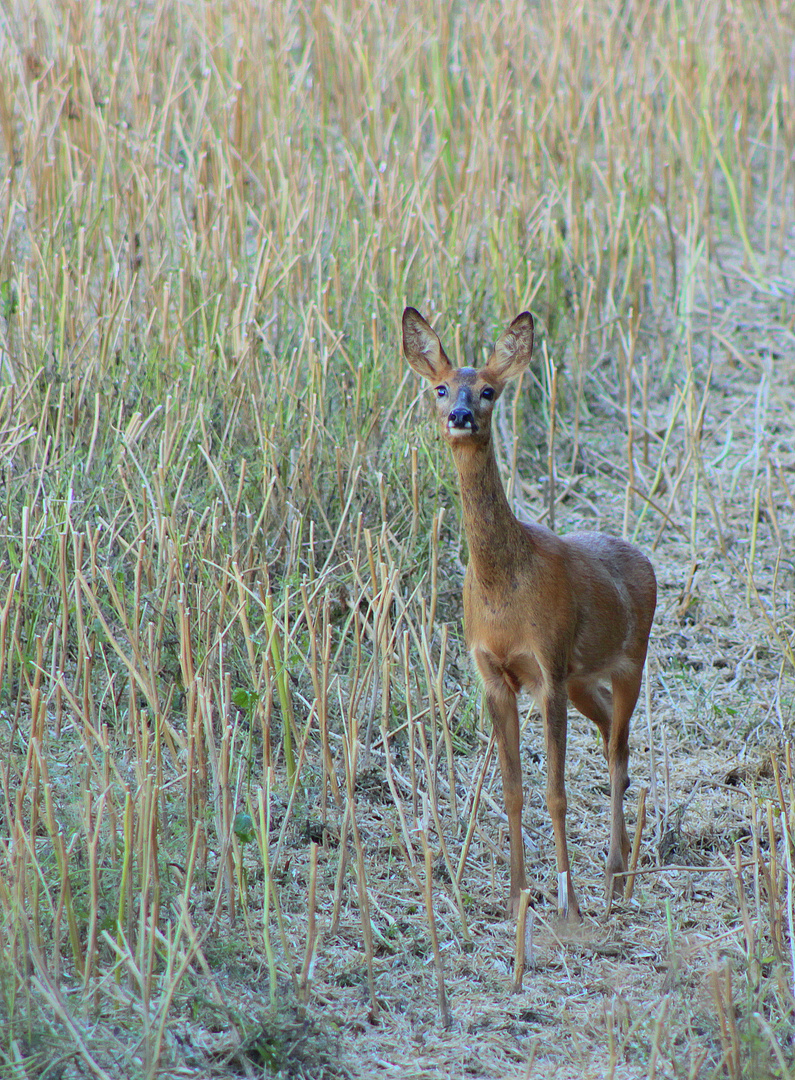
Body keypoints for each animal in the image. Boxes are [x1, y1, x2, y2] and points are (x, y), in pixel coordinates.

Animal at [403, 308, 656, 924]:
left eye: (489, 390)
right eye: (440, 388)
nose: (461, 415)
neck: (504, 591)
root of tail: (644, 560)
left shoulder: (547, 666)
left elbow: (556, 792)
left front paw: (569, 905)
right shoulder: (495, 673)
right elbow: (513, 789)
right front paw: (517, 892)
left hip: (628, 661)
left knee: (620, 751)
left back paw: (614, 877)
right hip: (584, 678)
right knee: (612, 736)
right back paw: (615, 869)